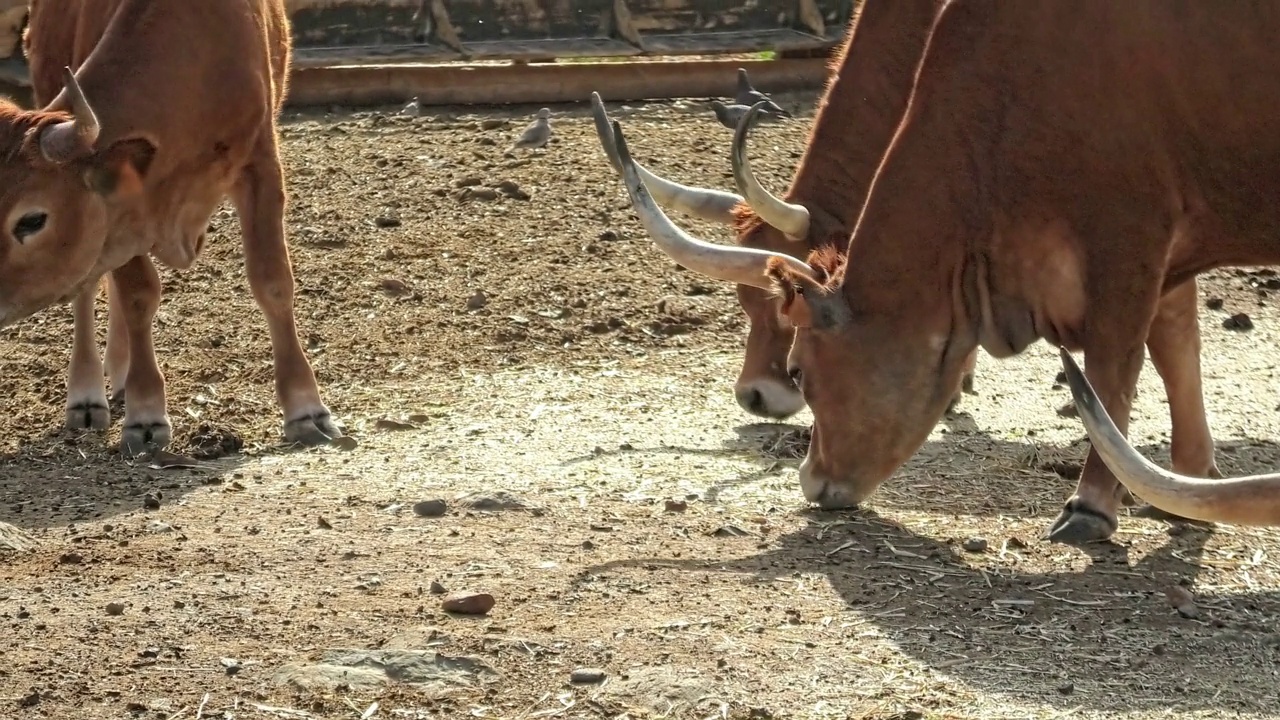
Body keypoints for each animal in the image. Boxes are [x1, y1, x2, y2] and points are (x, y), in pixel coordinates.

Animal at [2, 0, 340, 450]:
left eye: (32, 220)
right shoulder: (121, 209)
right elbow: (137, 295)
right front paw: (145, 413)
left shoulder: (261, 162)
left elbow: (273, 283)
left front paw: (307, 410)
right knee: (88, 288)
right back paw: (88, 394)